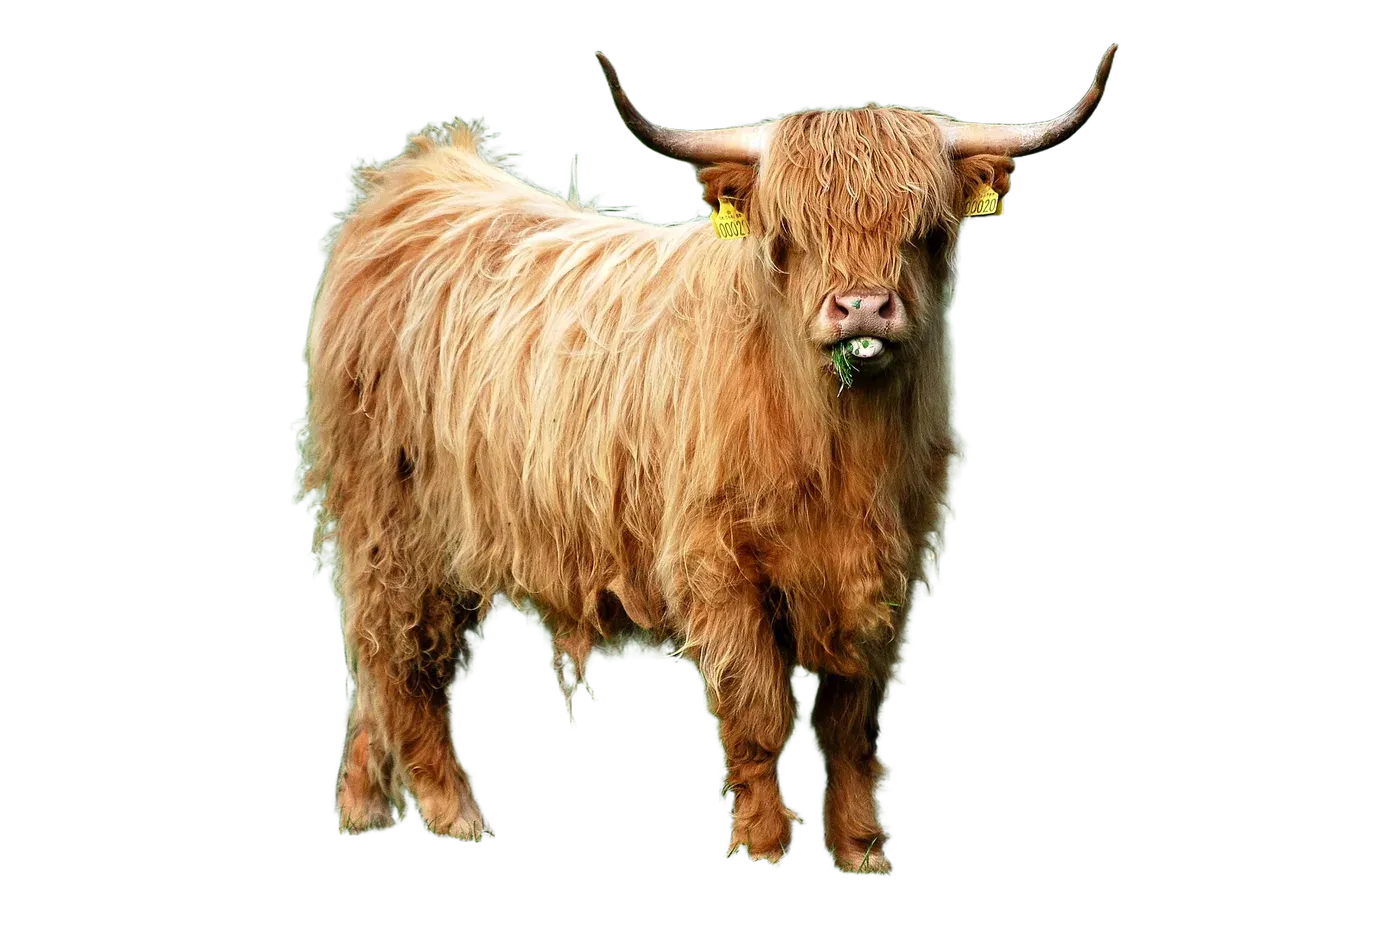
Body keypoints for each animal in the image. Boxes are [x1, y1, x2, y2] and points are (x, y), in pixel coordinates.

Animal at [299, 45, 1117, 873]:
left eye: (926, 228)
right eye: (790, 231)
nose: (861, 308)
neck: (837, 445)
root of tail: (422, 179)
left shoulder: (886, 570)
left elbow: (850, 723)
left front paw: (860, 851)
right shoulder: (716, 563)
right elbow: (759, 712)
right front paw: (763, 848)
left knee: (376, 666)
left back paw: (363, 808)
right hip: (395, 523)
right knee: (404, 661)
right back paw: (453, 813)